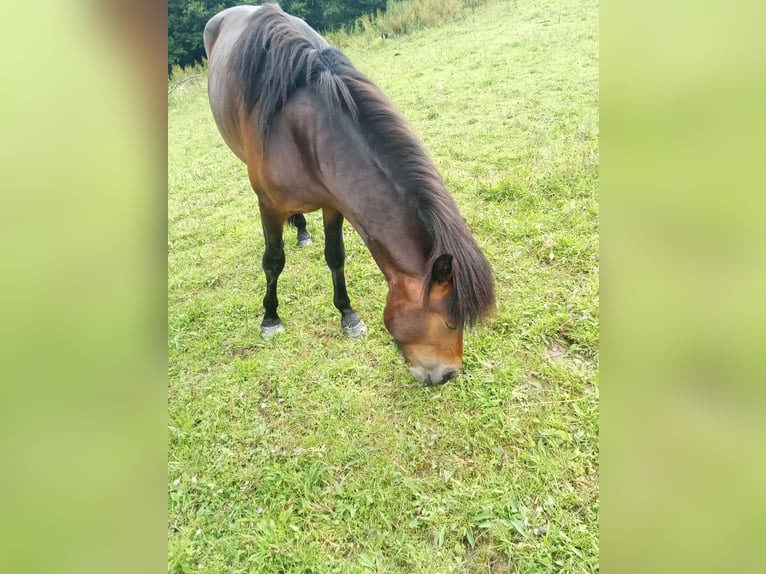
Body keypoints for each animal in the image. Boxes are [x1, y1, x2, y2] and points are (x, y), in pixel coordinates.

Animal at [202, 4, 498, 384]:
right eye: (449, 322)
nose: (447, 375)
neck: (300, 131)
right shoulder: (268, 205)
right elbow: (273, 261)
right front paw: (270, 318)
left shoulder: (334, 203)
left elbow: (335, 256)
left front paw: (348, 316)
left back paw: (301, 230)